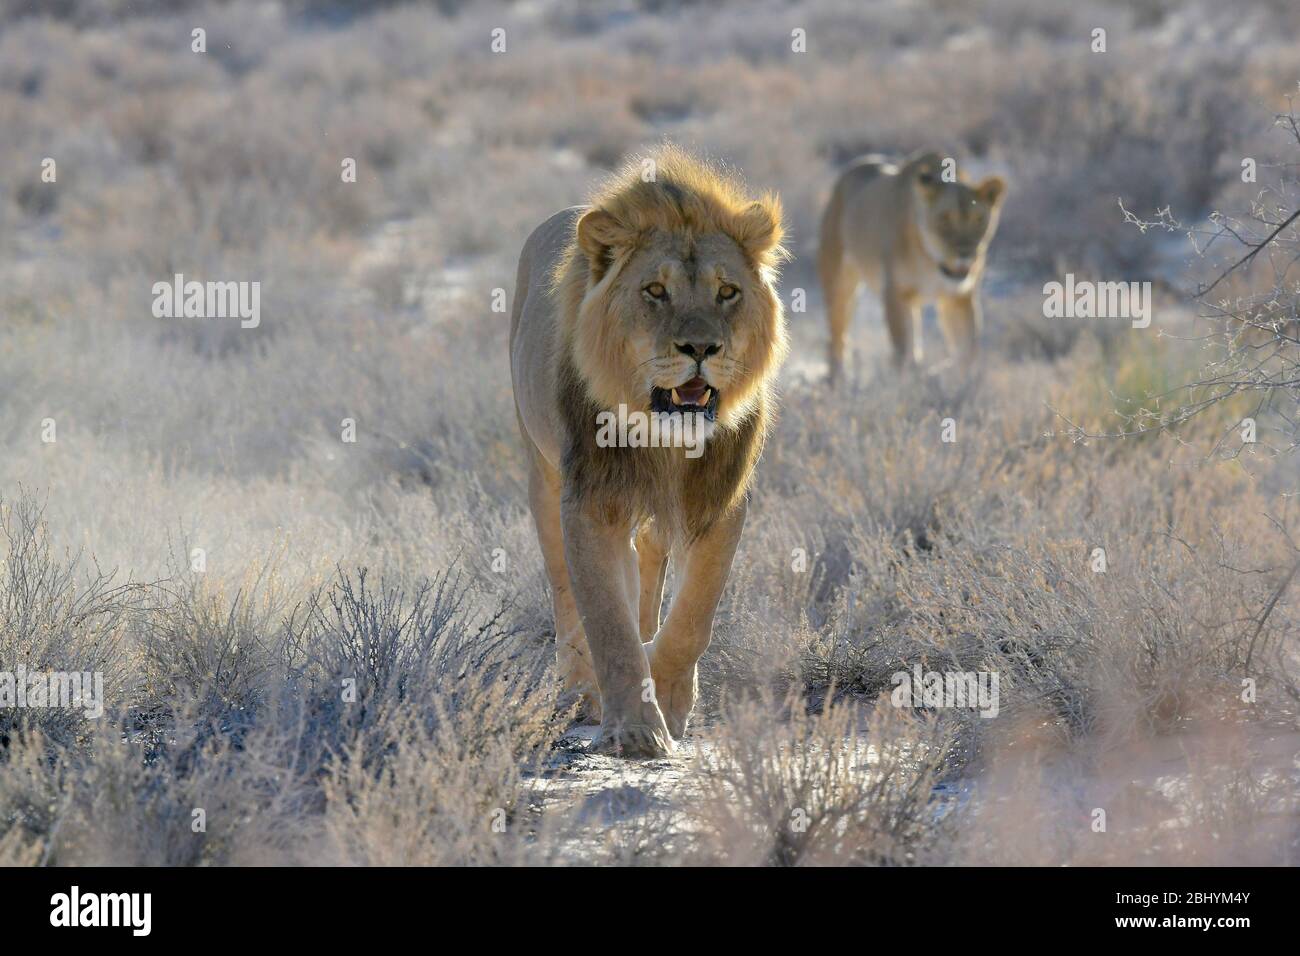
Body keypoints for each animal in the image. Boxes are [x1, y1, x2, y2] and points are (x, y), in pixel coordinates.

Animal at [512, 145, 785, 759]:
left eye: (727, 291)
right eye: (655, 291)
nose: (701, 347)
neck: (664, 441)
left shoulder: (721, 501)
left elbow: (691, 618)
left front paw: (670, 697)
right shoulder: (591, 500)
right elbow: (607, 621)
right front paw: (635, 728)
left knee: (650, 569)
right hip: (541, 474)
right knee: (565, 592)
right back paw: (580, 693)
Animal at [821, 152, 1003, 377]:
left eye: (978, 219)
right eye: (944, 219)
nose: (965, 252)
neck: (931, 262)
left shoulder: (959, 298)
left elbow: (966, 351)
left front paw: (964, 382)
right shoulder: (896, 293)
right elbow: (902, 350)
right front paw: (904, 381)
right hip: (839, 284)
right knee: (837, 338)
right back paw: (838, 380)